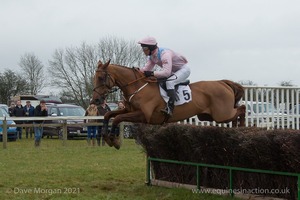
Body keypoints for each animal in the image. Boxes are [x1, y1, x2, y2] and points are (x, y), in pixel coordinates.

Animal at [92, 60, 245, 149]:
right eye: (95, 78)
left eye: (101, 77)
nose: (96, 100)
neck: (137, 86)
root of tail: (223, 83)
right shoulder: (128, 110)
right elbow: (108, 115)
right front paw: (107, 136)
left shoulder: (143, 115)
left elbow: (117, 118)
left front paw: (114, 141)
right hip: (207, 116)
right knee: (237, 112)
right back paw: (237, 129)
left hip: (222, 114)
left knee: (242, 109)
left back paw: (241, 127)